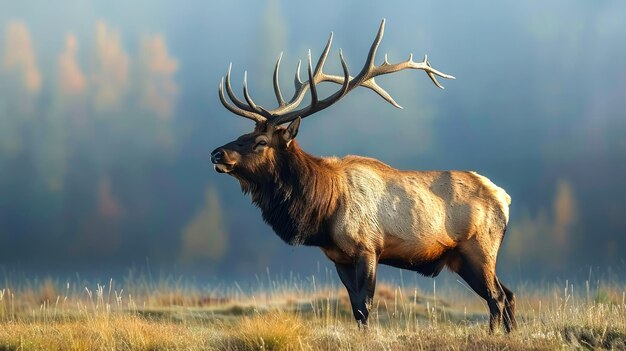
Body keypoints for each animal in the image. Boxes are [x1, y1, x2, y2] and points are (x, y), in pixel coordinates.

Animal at [212, 20, 516, 334]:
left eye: (260, 142)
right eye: (243, 134)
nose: (217, 153)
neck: (324, 209)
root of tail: (504, 197)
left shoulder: (368, 248)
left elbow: (365, 305)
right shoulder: (339, 257)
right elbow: (355, 308)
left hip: (479, 248)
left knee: (496, 297)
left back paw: (493, 334)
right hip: (463, 258)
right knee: (508, 294)